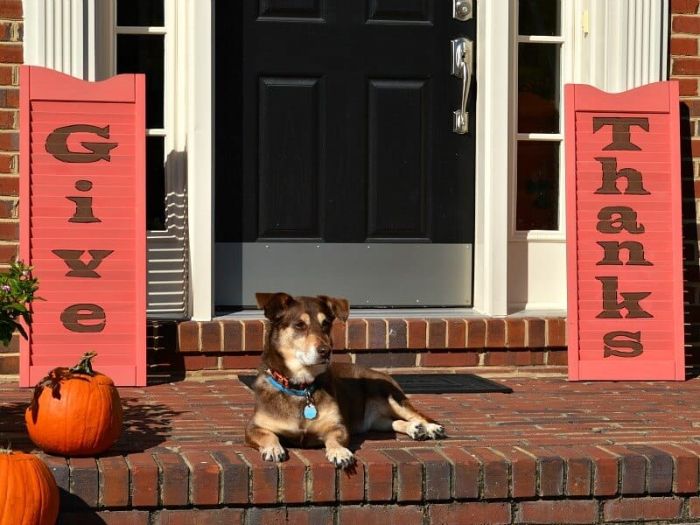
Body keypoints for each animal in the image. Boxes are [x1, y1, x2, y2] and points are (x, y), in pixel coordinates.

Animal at [245, 290, 442, 466]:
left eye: (326, 323)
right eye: (299, 325)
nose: (325, 351)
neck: (301, 386)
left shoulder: (338, 427)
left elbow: (334, 439)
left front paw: (339, 452)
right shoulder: (253, 428)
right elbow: (267, 434)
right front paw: (273, 448)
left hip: (392, 397)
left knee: (417, 415)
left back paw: (430, 427)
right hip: (375, 421)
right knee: (392, 422)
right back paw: (414, 428)